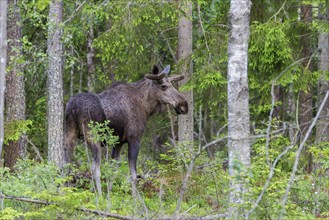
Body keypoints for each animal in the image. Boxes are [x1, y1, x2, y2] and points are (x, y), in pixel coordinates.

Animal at [64, 65, 187, 194]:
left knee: (66, 163)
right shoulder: (134, 139)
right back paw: (99, 195)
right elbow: (133, 175)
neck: (146, 107)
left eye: (172, 84)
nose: (184, 105)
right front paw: (134, 197)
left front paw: (110, 193)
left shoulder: (118, 143)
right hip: (93, 136)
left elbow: (113, 171)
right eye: (164, 86)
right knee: (95, 168)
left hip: (70, 133)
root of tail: (73, 107)